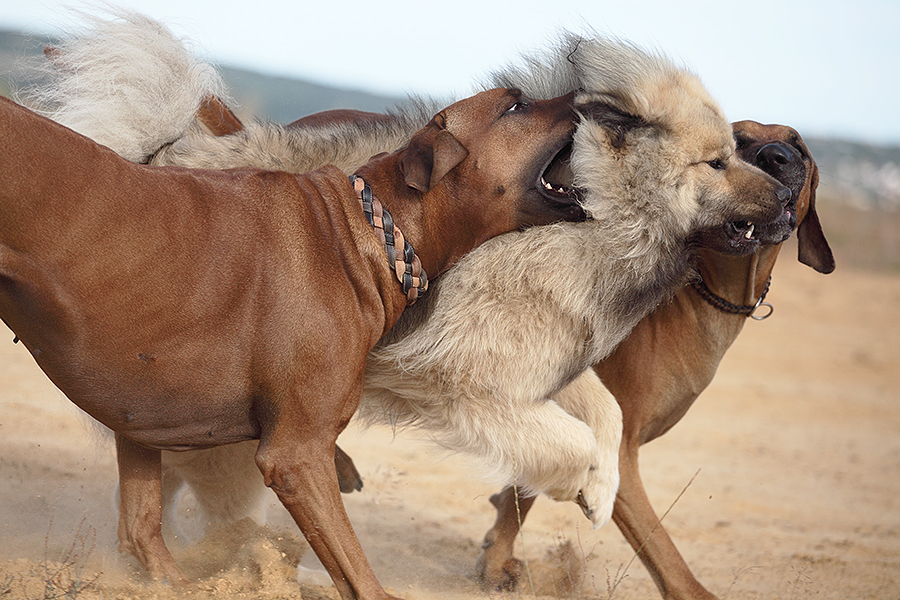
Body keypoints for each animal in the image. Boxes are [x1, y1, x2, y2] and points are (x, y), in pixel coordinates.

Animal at [0, 90, 584, 600]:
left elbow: (142, 531)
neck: (368, 233)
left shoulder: (140, 413)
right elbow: (357, 571)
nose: (589, 98)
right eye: (515, 104)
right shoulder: (297, 455)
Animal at [474, 119, 832, 596]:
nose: (776, 158)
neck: (698, 291)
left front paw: (496, 556)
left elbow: (526, 487)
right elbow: (665, 555)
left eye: (799, 148)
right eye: (737, 142)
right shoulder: (619, 450)